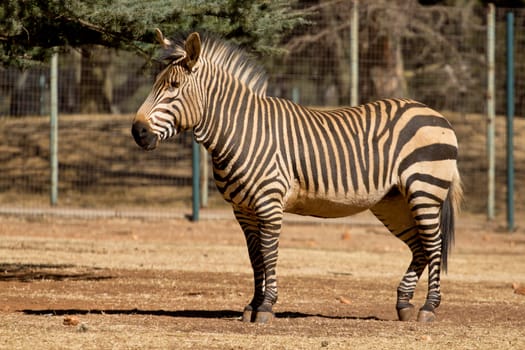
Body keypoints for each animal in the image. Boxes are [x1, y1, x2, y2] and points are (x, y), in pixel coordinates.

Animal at [133, 31, 460, 324]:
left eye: (174, 86)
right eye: (156, 84)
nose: (138, 132)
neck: (241, 131)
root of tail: (434, 113)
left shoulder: (269, 204)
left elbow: (269, 254)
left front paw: (266, 307)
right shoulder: (243, 211)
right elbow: (255, 257)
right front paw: (252, 306)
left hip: (424, 191)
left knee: (434, 245)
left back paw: (428, 308)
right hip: (392, 203)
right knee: (419, 247)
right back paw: (404, 304)